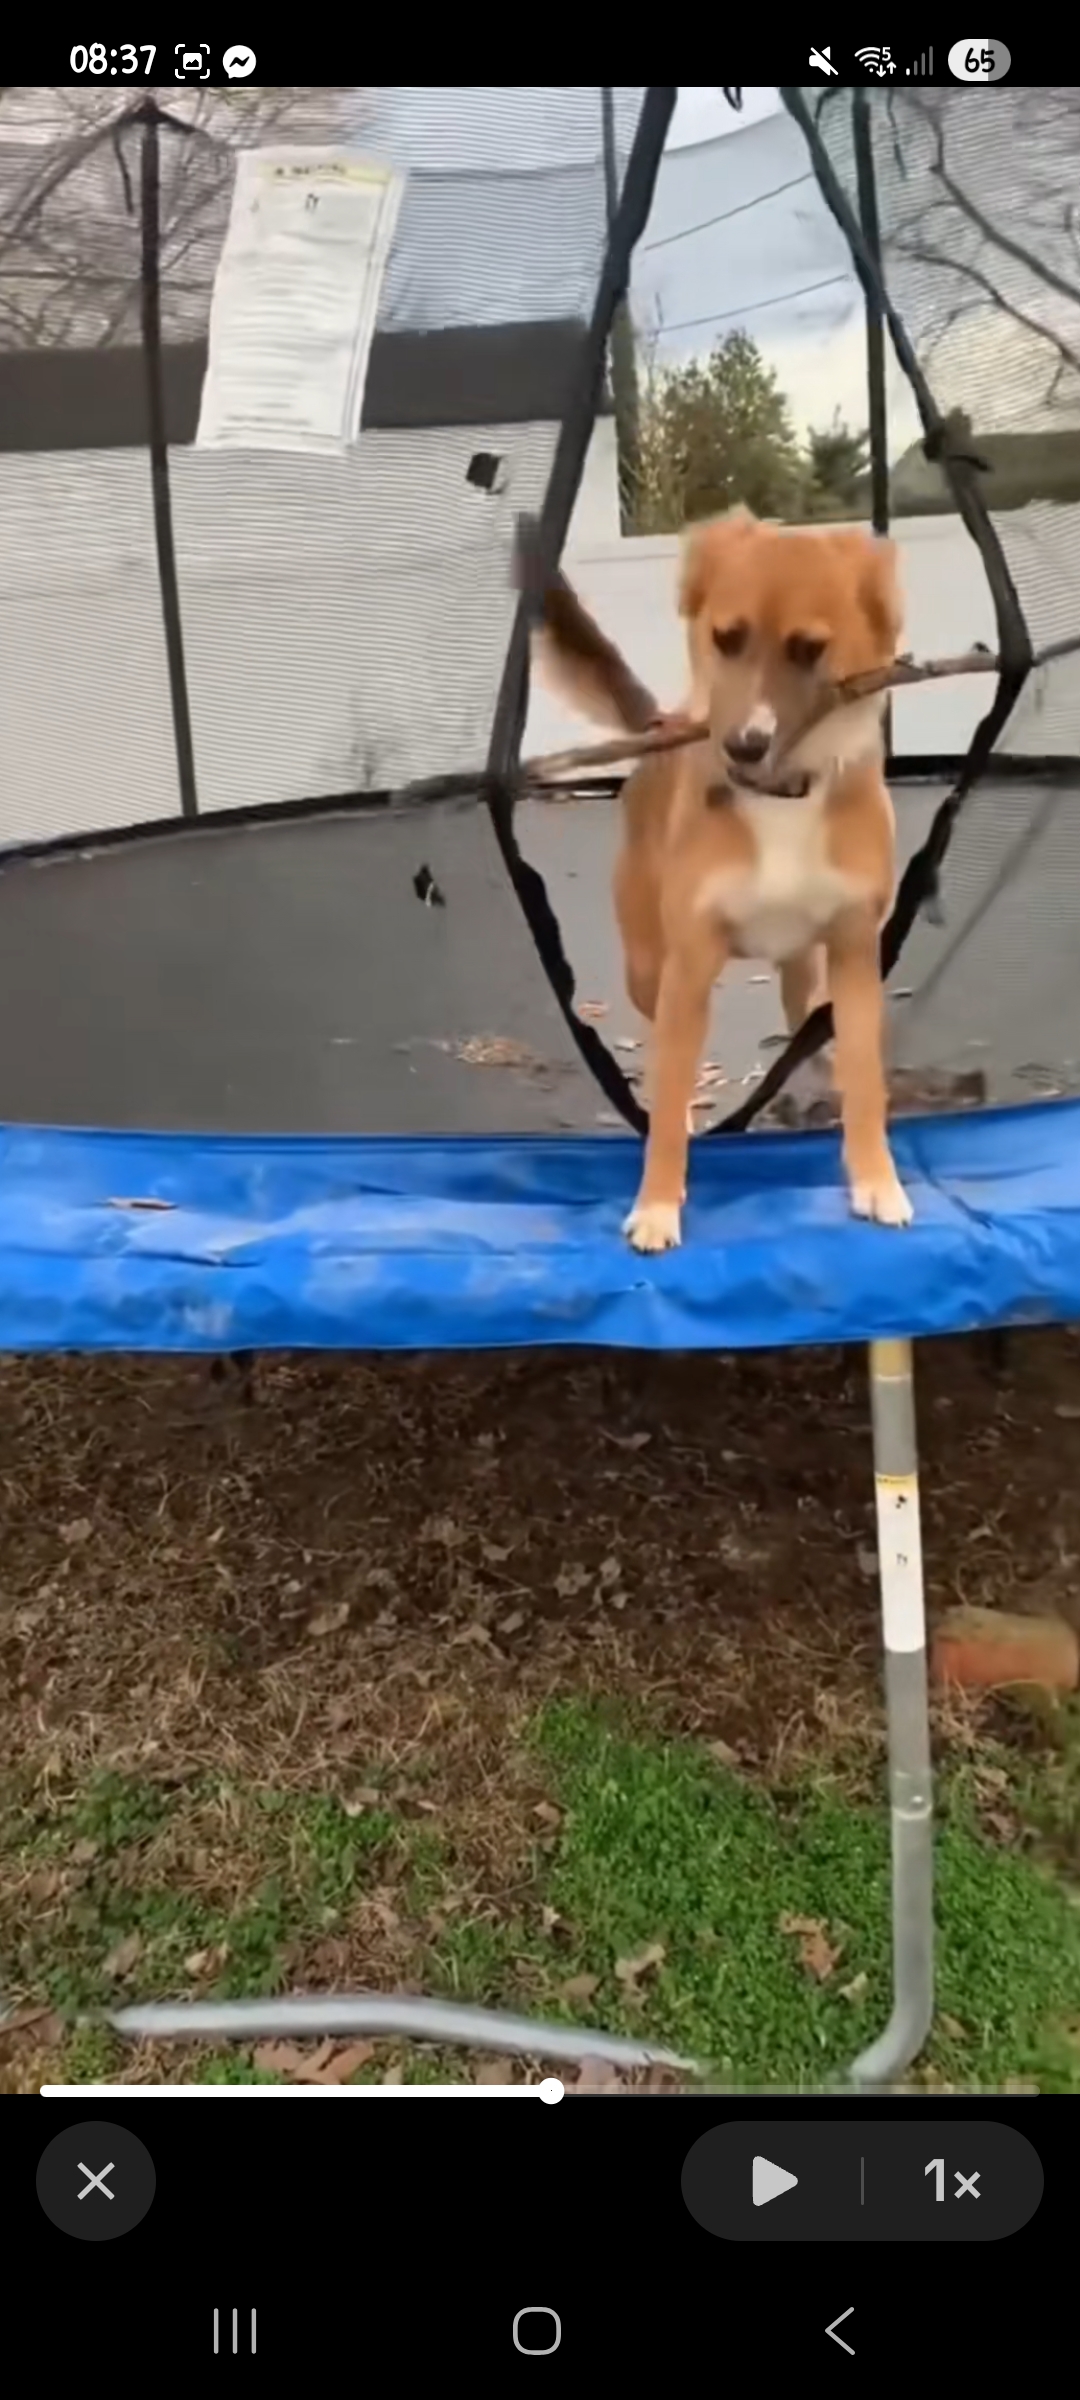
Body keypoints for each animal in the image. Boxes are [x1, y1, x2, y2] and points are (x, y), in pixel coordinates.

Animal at [523, 507, 912, 1252]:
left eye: (808, 649)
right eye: (726, 639)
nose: (742, 746)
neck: (783, 797)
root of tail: (663, 724)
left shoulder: (854, 953)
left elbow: (866, 1084)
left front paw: (877, 1179)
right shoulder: (690, 963)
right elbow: (671, 1102)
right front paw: (657, 1204)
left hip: (801, 968)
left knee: (802, 1018)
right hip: (650, 967)